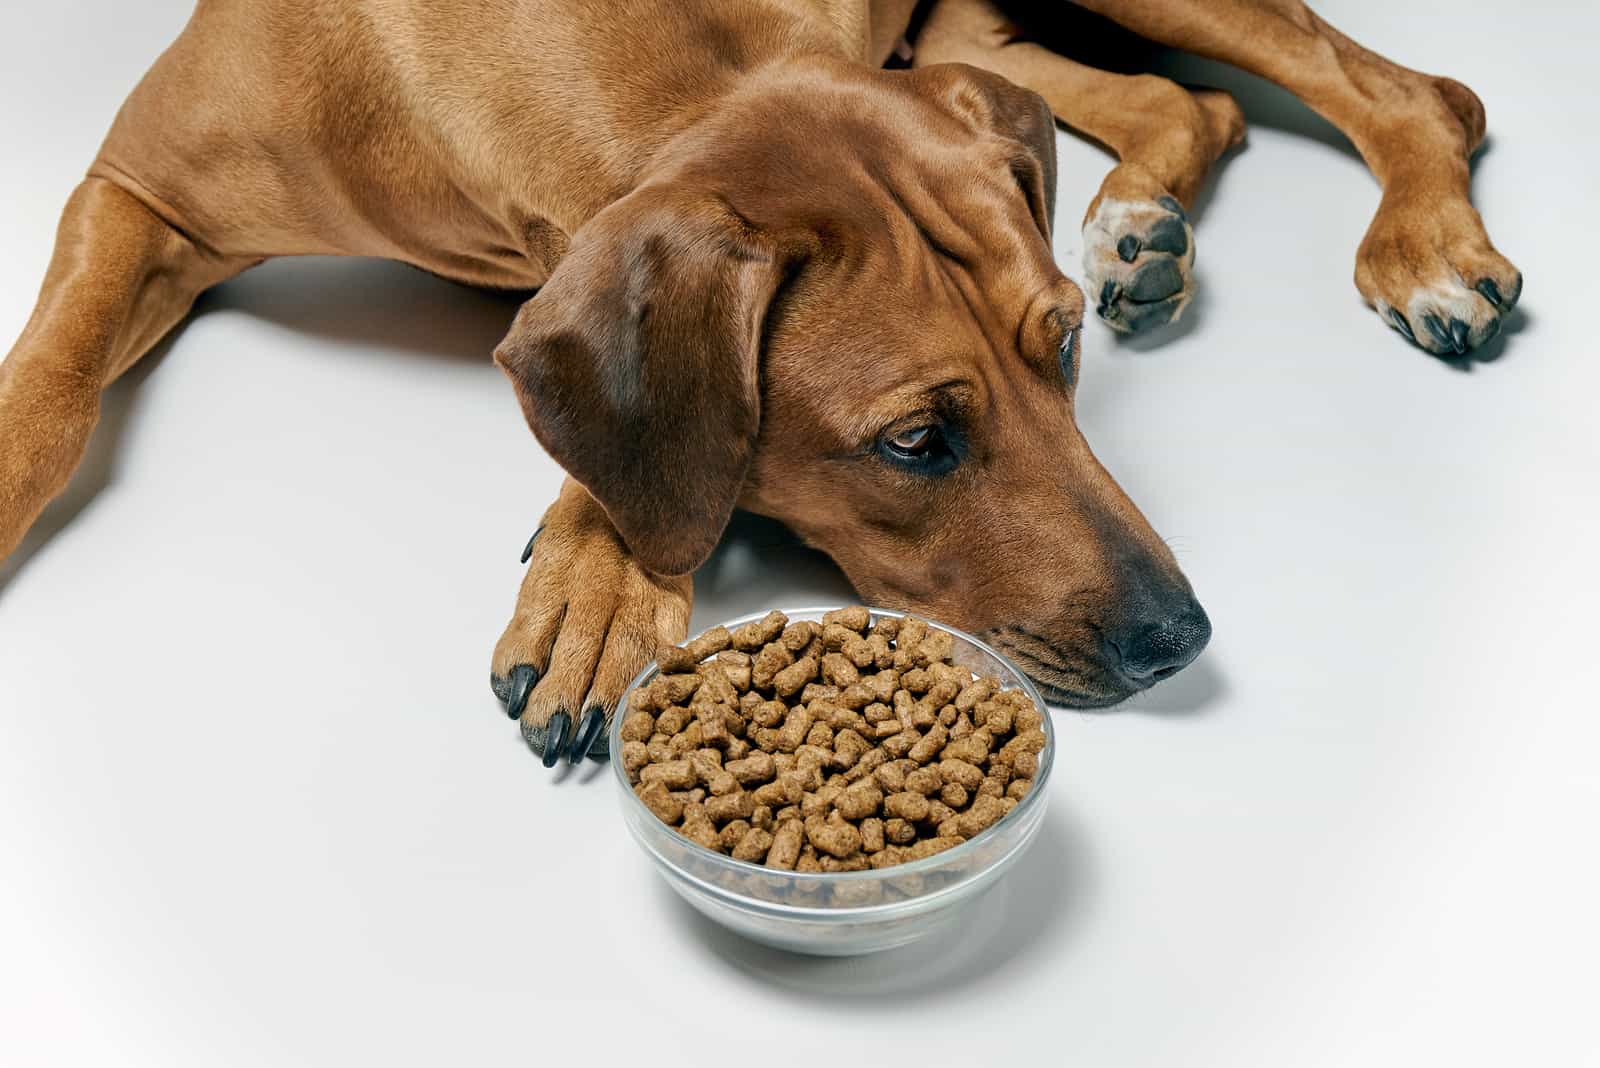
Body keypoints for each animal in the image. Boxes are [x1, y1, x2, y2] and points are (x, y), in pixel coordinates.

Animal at [3, 2, 1523, 767]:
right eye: (914, 442)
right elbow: (51, 390)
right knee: (1177, 98)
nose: (1180, 638)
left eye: (1061, 351)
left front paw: (599, 572)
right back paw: (1141, 217)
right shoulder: (135, 189)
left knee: (1409, 88)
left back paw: (1424, 245)